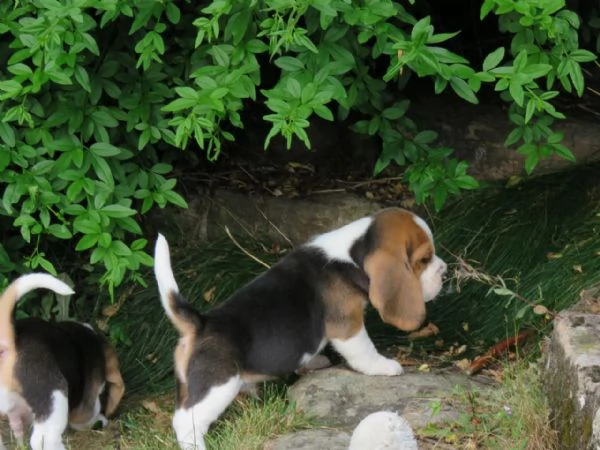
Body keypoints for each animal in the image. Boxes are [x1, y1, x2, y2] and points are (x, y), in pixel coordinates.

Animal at [0, 272, 125, 450]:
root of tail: (9, 343)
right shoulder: (86, 405)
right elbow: (88, 415)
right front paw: (100, 420)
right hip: (53, 396)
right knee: (42, 440)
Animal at [152, 207, 448, 450]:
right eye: (424, 259)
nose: (445, 271)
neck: (352, 253)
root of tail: (201, 323)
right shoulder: (347, 324)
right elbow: (363, 350)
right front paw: (383, 366)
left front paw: (313, 362)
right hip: (218, 386)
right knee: (186, 421)